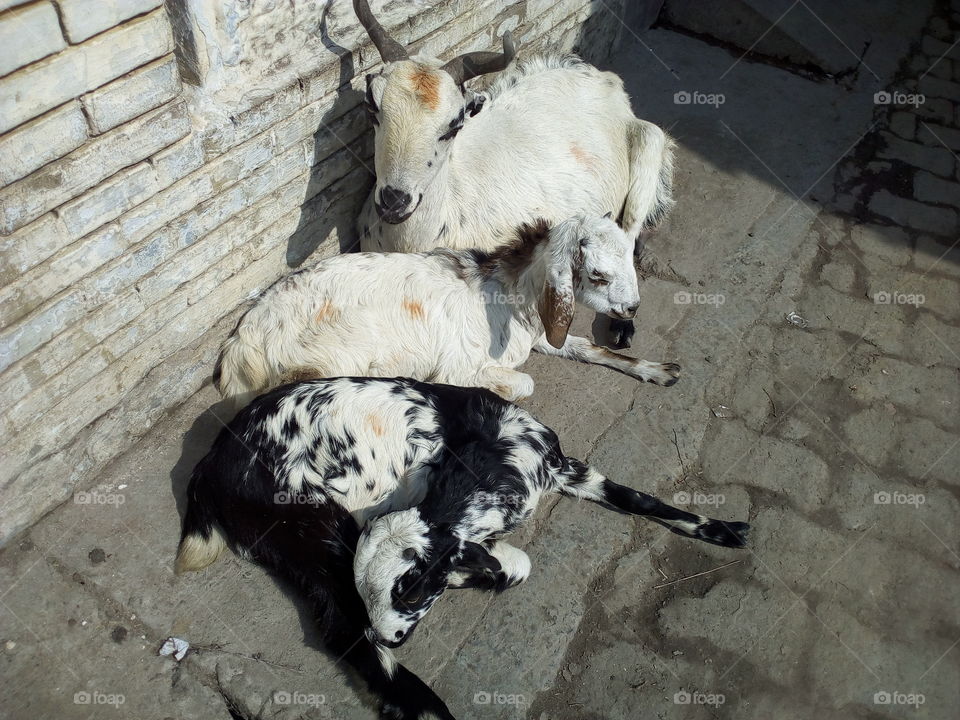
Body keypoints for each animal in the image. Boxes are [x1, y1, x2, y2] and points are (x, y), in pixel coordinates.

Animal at [175, 377, 749, 717]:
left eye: (409, 591)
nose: (387, 635)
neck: (495, 450)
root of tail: (208, 466)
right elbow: (513, 561)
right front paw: (498, 570)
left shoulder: (565, 467)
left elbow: (639, 498)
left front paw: (722, 529)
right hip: (308, 524)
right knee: (341, 627)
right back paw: (426, 705)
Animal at [216, 214, 680, 410]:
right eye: (598, 275)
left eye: (630, 255)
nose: (633, 306)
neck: (508, 294)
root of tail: (244, 339)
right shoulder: (462, 364)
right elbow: (524, 383)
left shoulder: (544, 332)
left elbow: (587, 347)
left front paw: (658, 370)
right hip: (323, 361)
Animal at [351, 0, 675, 348]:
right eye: (372, 106)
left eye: (455, 124)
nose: (395, 201)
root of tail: (605, 80)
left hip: (649, 144)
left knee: (629, 234)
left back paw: (623, 325)